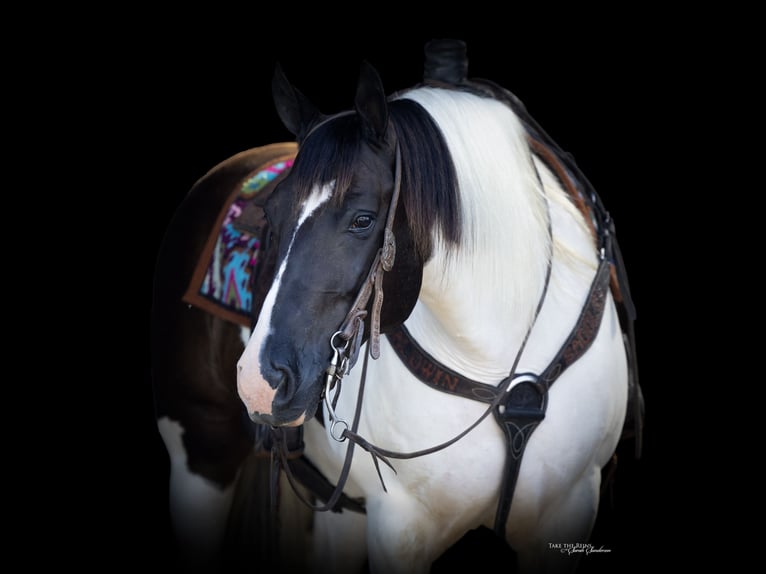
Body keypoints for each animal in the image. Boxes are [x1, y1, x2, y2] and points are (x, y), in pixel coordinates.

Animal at [235, 43, 642, 574]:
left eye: (363, 219)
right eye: (271, 213)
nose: (258, 381)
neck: (497, 364)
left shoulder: (569, 510)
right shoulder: (400, 528)